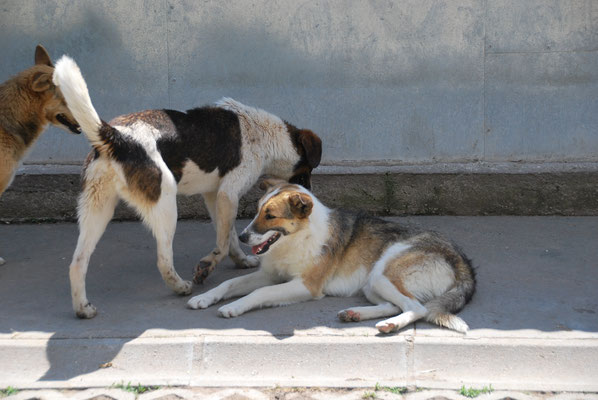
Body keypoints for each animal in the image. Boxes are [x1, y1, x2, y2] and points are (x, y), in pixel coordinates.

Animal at [53, 56, 322, 318]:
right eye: (308, 170)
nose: (308, 198)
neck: (265, 134)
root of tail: (115, 136)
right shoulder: (228, 193)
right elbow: (222, 242)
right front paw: (207, 266)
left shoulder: (215, 196)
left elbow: (229, 236)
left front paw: (241, 261)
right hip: (165, 205)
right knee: (163, 260)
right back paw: (180, 287)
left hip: (97, 210)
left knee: (77, 263)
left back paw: (83, 308)